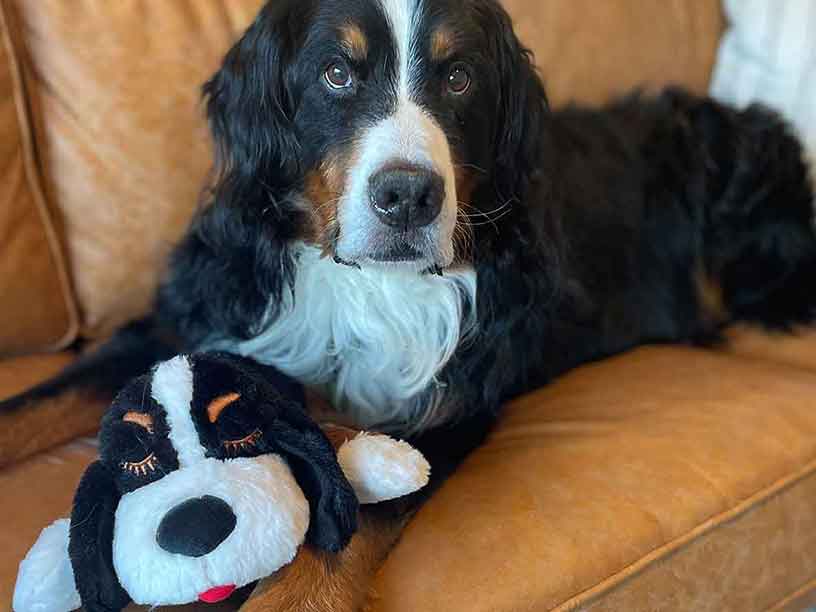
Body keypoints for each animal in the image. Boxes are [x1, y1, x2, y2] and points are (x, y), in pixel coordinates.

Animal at [4, 0, 816, 608]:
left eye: (458, 78)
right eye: (336, 74)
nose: (408, 196)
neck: (357, 282)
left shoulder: (445, 414)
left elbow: (349, 527)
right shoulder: (186, 320)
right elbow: (33, 403)